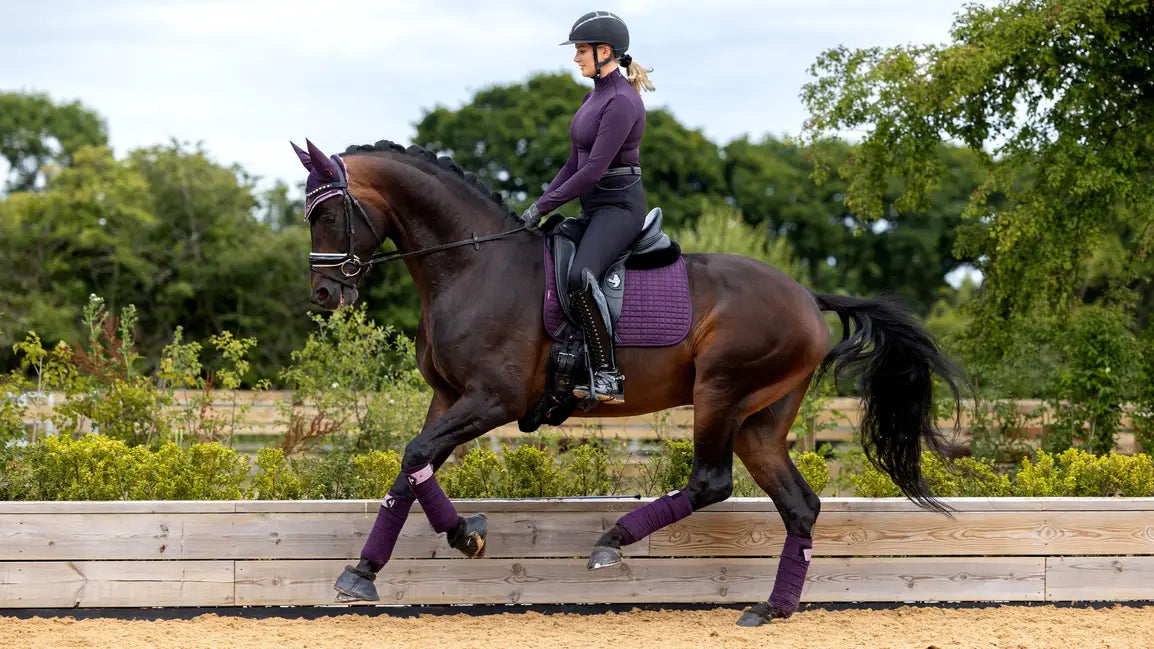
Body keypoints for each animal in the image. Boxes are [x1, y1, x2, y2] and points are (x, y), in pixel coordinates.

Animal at [293, 137, 960, 628]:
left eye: (328, 213)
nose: (323, 295)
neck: (472, 263)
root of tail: (806, 295)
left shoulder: (493, 400)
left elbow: (416, 456)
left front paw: (460, 537)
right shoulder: (449, 397)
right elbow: (411, 467)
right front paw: (369, 570)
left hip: (720, 393)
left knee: (712, 482)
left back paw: (612, 540)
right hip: (759, 420)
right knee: (799, 503)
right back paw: (772, 609)